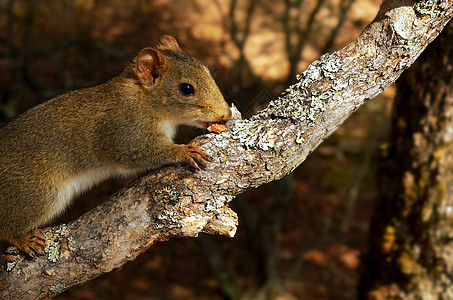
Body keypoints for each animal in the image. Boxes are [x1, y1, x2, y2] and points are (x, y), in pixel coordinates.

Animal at [0, 34, 231, 255]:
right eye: (186, 88)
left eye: (207, 71)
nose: (226, 114)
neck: (144, 99)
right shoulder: (125, 132)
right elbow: (141, 154)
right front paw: (184, 151)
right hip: (37, 194)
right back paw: (23, 240)